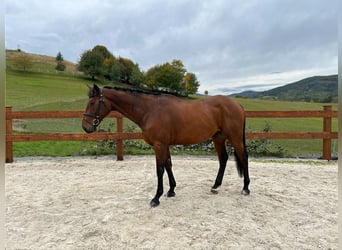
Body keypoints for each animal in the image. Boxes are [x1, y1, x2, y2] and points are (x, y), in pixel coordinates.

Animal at [82, 84, 250, 207]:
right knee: (223, 159)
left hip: (234, 138)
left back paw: (246, 188)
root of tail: (238, 105)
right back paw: (215, 186)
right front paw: (171, 190)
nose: (86, 127)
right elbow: (168, 165)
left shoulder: (159, 145)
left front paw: (156, 197)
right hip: (218, 138)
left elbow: (160, 169)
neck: (150, 110)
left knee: (243, 157)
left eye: (92, 103)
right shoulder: (165, 145)